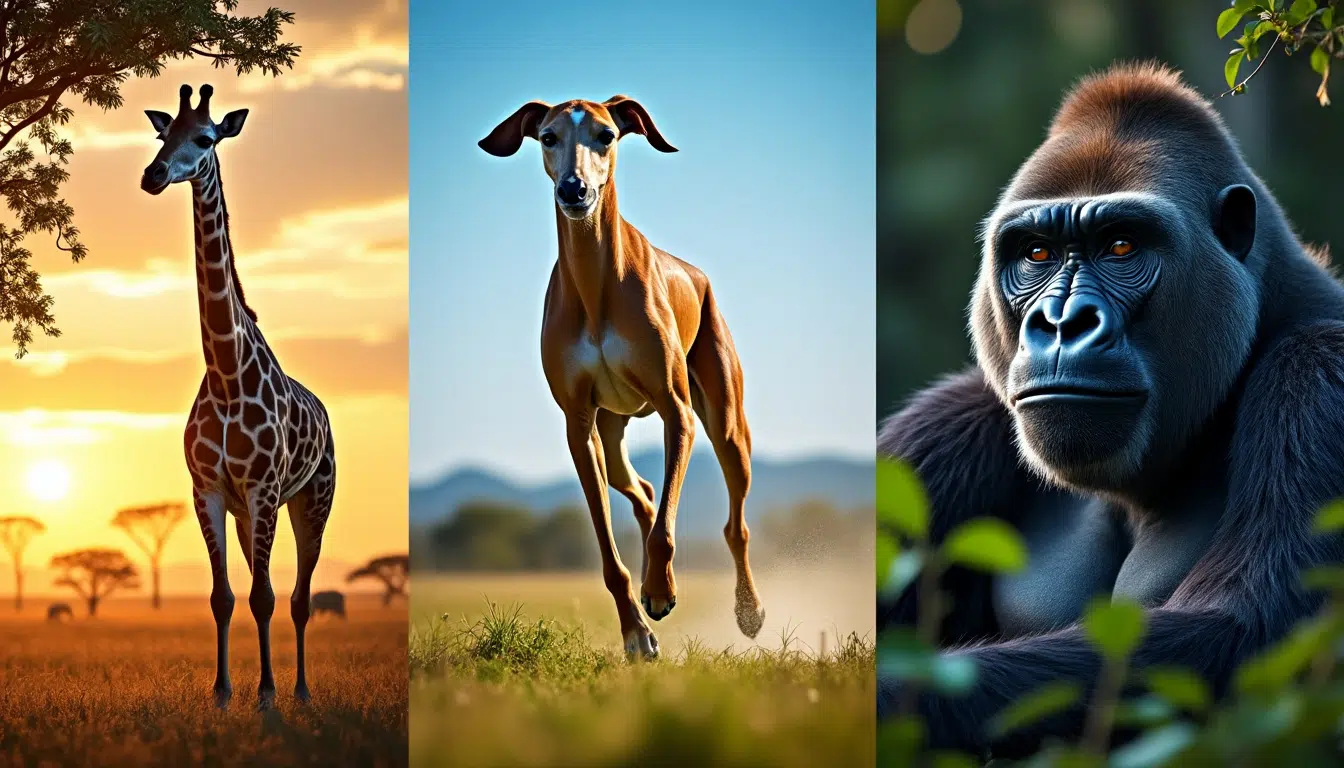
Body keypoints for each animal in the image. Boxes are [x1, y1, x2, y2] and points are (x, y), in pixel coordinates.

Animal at [140, 84, 336, 710]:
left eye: (205, 138)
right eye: (163, 133)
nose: (153, 175)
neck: (225, 375)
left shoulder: (263, 487)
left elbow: (267, 598)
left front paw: (268, 694)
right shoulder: (208, 489)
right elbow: (225, 597)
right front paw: (224, 692)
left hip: (311, 499)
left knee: (297, 596)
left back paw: (300, 690)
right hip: (257, 509)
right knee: (262, 585)